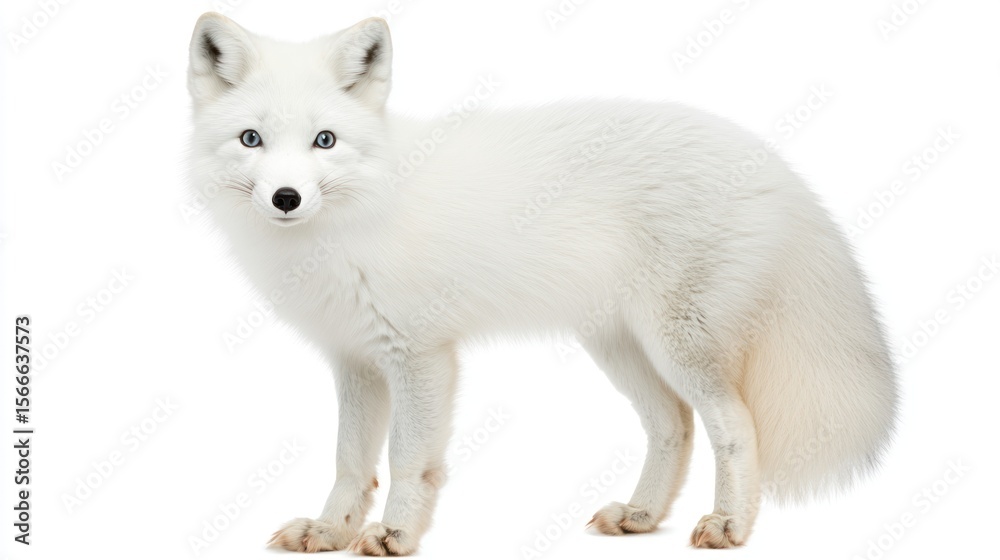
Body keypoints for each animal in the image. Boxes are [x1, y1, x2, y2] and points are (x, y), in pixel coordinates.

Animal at [186, 12, 898, 555]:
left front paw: (395, 535)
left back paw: (729, 525)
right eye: (251, 139)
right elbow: (350, 464)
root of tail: (769, 160)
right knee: (674, 425)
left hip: (681, 347)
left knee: (734, 426)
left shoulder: (419, 356)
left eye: (324, 141)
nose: (285, 198)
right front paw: (330, 530)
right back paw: (642, 516)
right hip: (618, 346)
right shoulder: (355, 360)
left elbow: (406, 461)